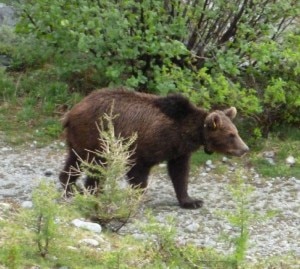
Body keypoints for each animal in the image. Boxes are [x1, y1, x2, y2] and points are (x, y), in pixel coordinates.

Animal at [59, 87, 248, 208]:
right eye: (231, 135)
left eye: (236, 132)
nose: (245, 149)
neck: (185, 131)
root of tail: (72, 111)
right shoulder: (147, 144)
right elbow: (138, 172)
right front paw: (138, 196)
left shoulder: (179, 151)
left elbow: (180, 173)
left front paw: (191, 201)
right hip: (96, 134)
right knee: (96, 164)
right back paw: (94, 191)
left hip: (80, 139)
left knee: (74, 161)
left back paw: (71, 186)